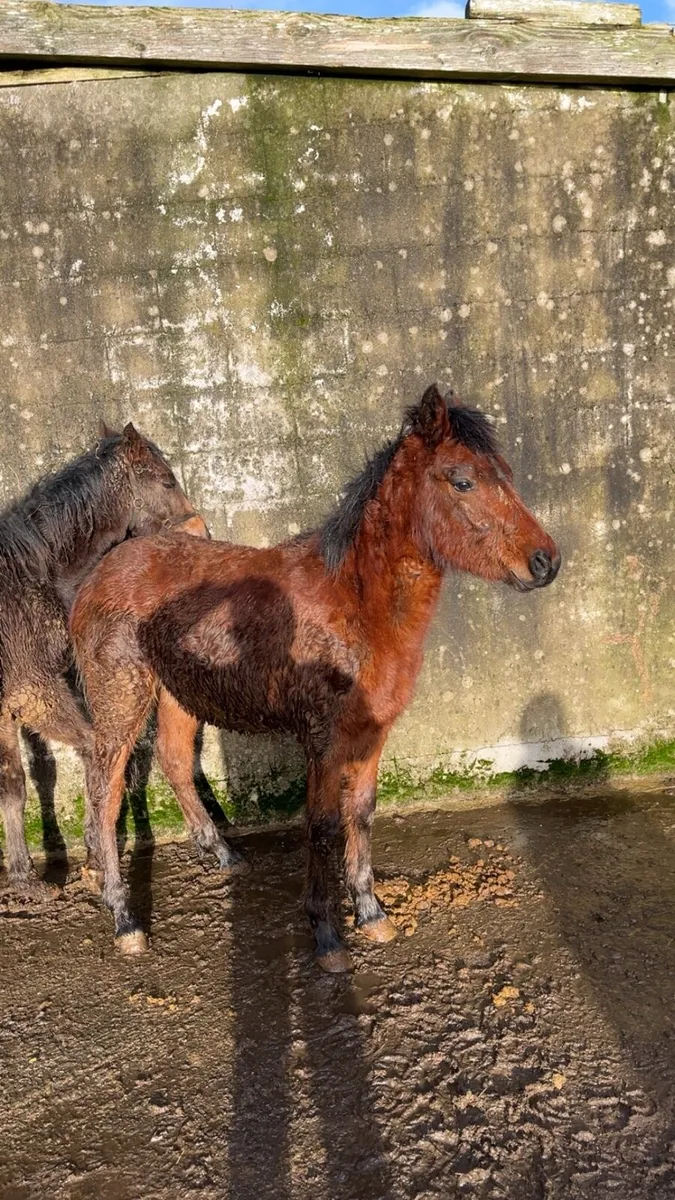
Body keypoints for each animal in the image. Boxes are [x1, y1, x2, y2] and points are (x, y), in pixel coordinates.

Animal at [0, 420, 203, 901]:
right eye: (167, 481)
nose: (198, 528)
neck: (30, 571)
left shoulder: (7, 706)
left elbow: (13, 785)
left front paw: (25, 879)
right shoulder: (34, 690)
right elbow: (94, 751)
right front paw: (95, 860)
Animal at [70, 384, 561, 970]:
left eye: (505, 473)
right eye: (462, 479)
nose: (546, 562)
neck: (356, 604)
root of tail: (100, 569)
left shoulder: (372, 732)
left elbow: (362, 814)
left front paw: (371, 914)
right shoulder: (324, 740)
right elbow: (323, 825)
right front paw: (327, 935)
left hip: (176, 696)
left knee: (172, 761)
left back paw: (224, 855)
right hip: (121, 702)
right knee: (104, 795)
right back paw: (125, 920)